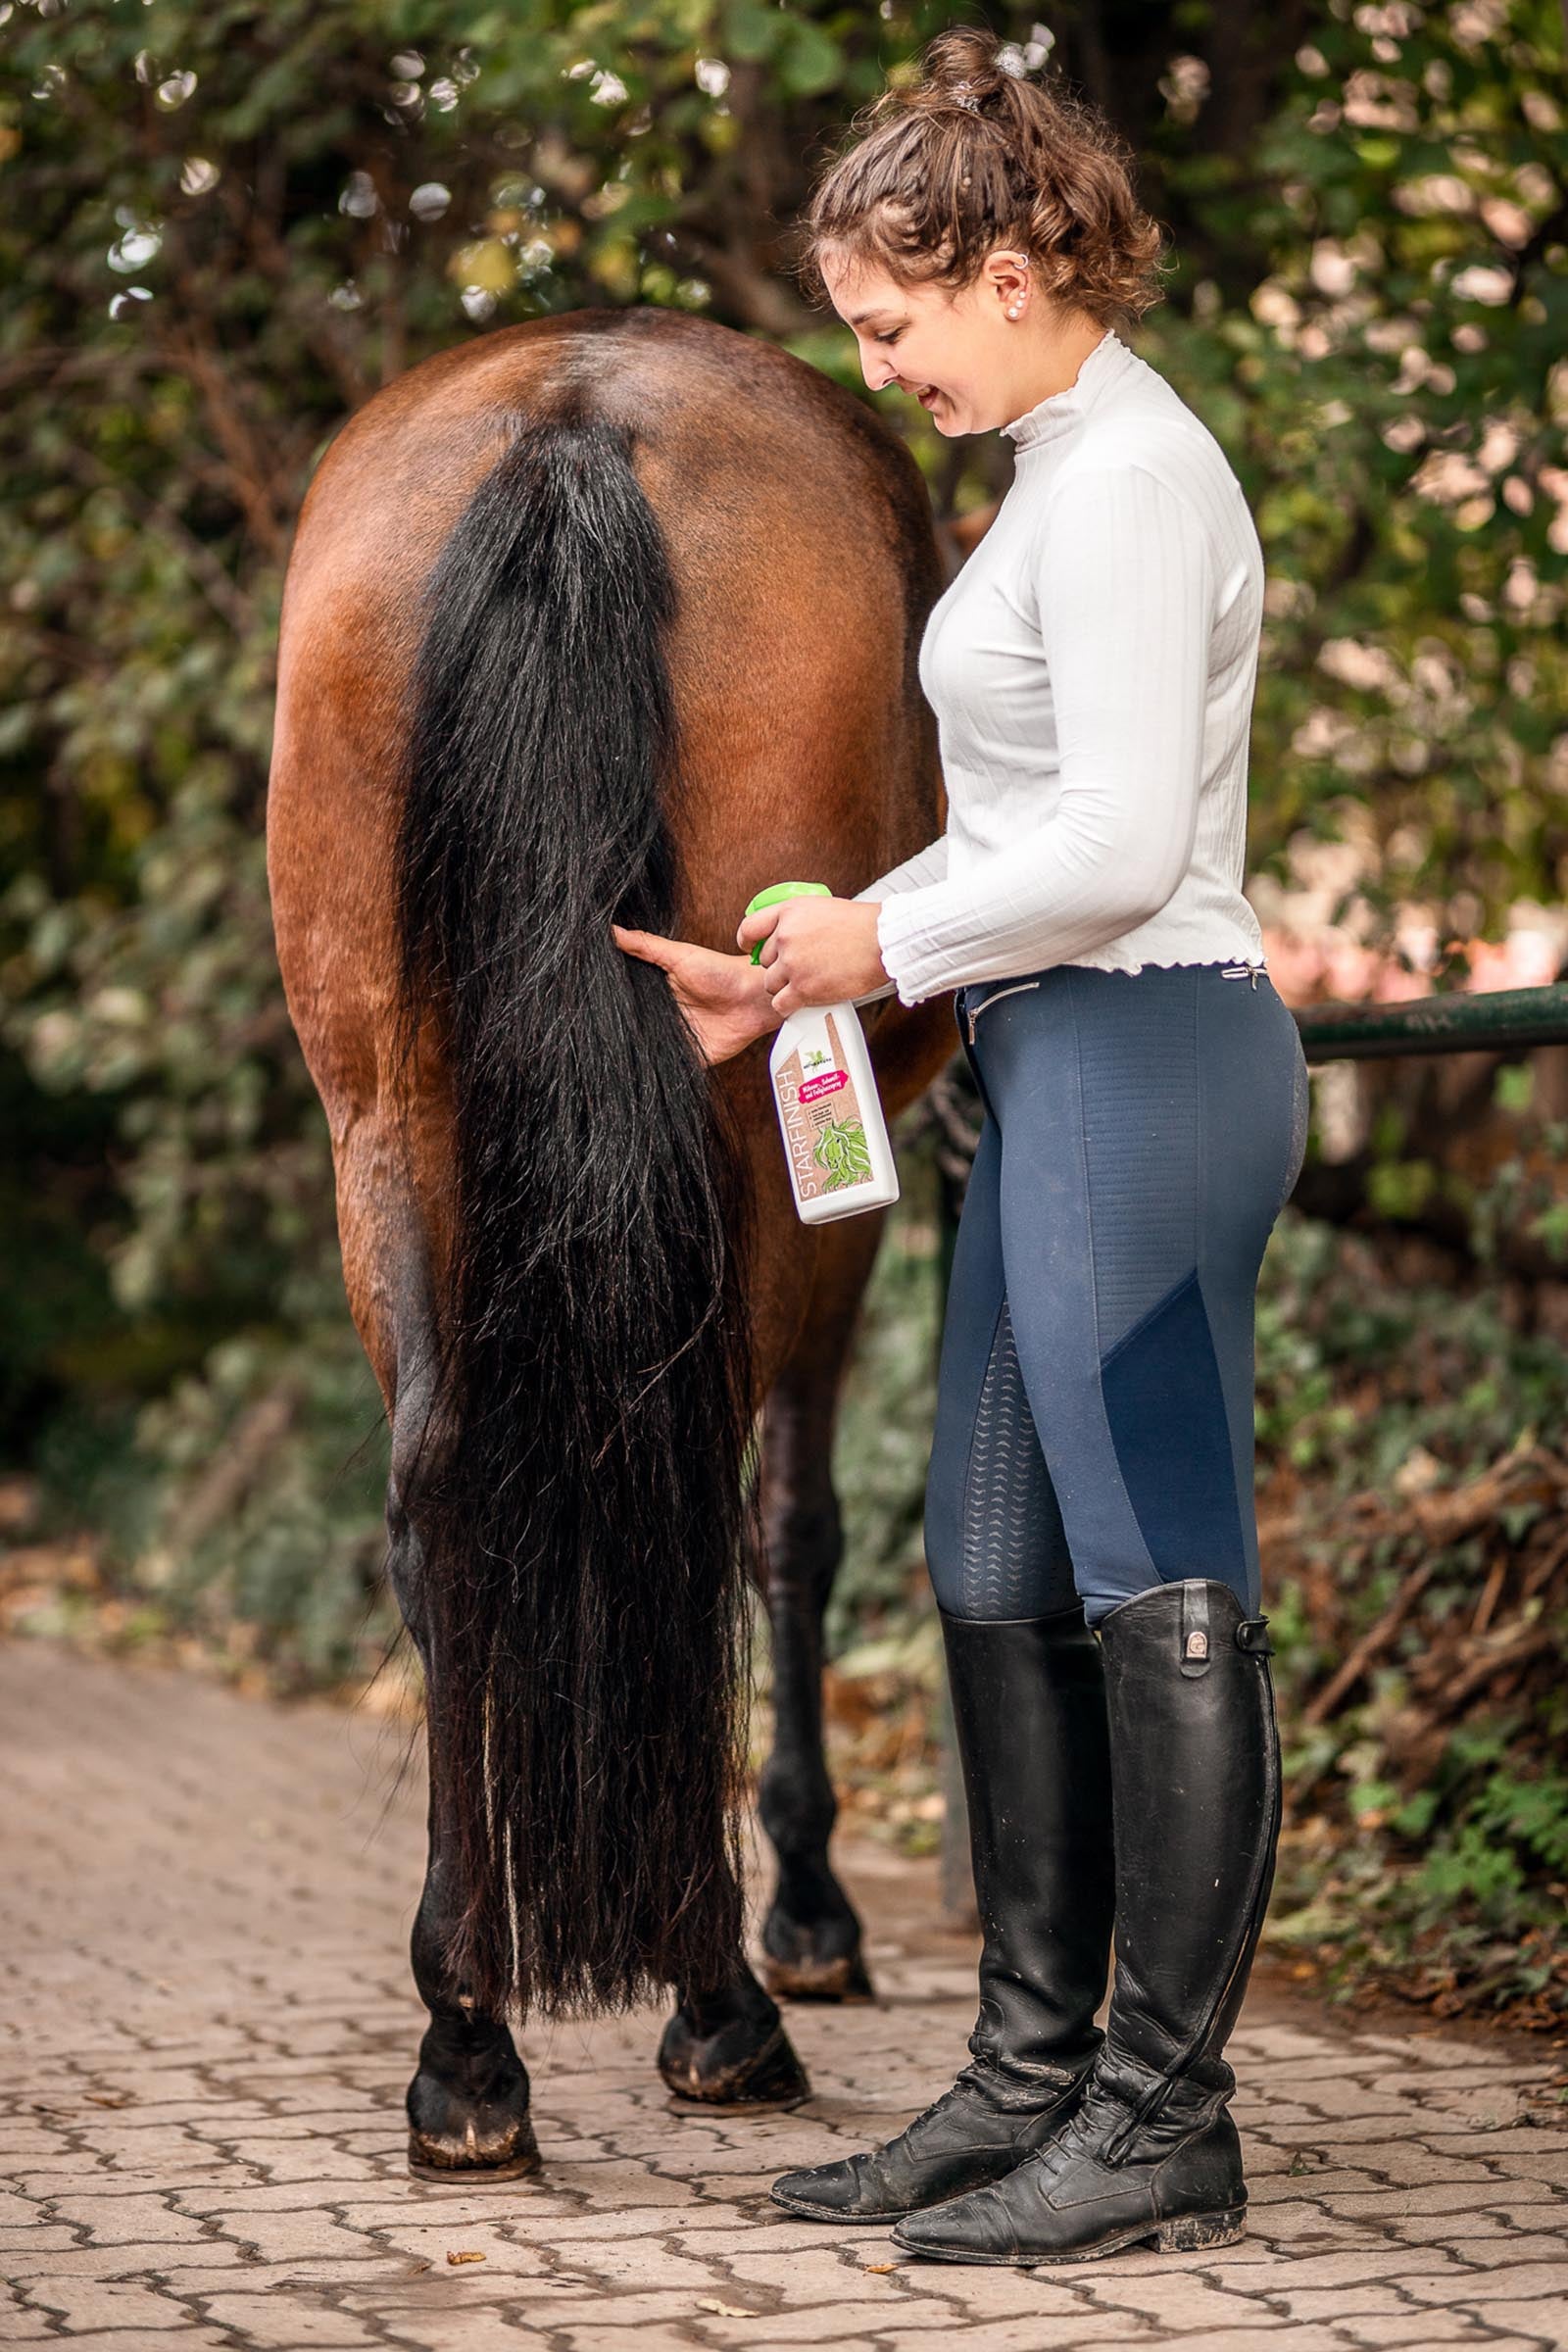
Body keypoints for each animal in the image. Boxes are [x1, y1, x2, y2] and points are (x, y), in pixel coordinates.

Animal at [265, 304, 957, 2176]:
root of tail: (573, 418)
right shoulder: (834, 1201)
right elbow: (797, 1528)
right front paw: (809, 1911)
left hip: (383, 1115)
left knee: (436, 1487)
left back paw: (469, 2037)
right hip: (738, 1133)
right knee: (707, 1495)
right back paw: (722, 1995)